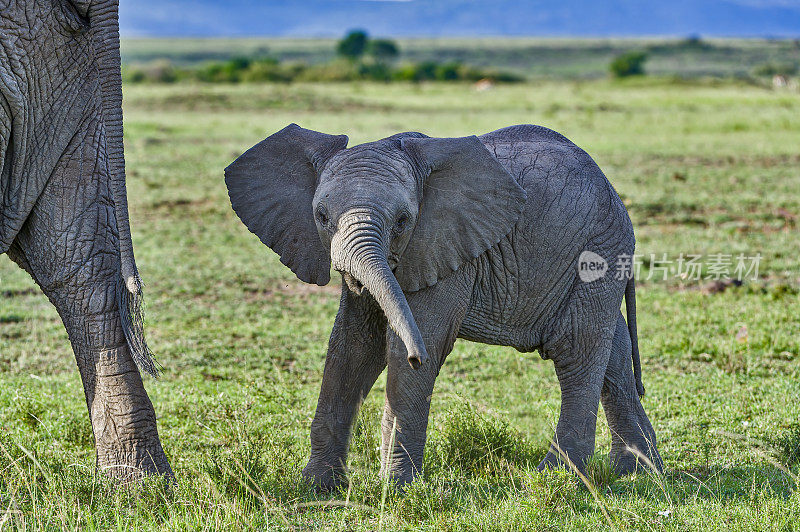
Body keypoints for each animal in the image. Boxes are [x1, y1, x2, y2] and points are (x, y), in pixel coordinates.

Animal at [223, 122, 664, 488]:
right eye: (321, 216)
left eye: (403, 220)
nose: (416, 354)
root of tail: (614, 192)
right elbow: (352, 348)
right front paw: (318, 489)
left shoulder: (444, 249)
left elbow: (410, 344)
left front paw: (396, 490)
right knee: (614, 357)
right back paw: (639, 474)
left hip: (597, 252)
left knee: (576, 353)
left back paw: (557, 479)